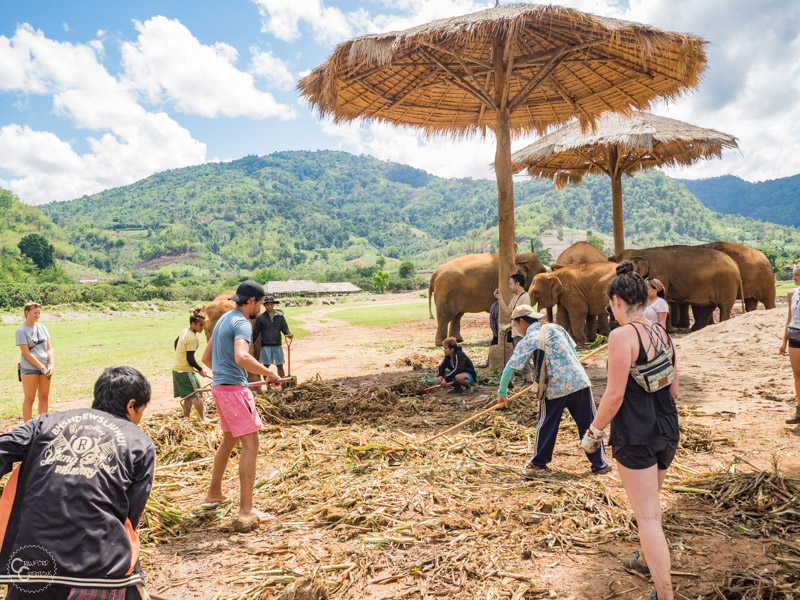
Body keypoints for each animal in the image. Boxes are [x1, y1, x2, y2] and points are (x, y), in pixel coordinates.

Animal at [612, 245, 744, 332]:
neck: (641, 252)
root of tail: (735, 264)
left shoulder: (660, 276)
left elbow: (663, 298)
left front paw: (670, 330)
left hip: (726, 282)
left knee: (724, 306)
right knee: (710, 305)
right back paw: (695, 329)